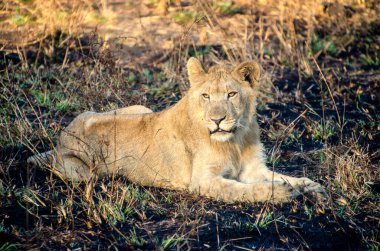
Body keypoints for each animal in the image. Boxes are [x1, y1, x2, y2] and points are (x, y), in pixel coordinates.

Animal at [29, 57, 326, 203]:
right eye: (206, 96)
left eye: (231, 94)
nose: (217, 120)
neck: (235, 140)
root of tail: (60, 140)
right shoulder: (203, 181)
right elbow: (243, 190)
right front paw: (280, 194)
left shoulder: (254, 169)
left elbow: (285, 176)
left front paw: (311, 186)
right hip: (83, 175)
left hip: (141, 107)